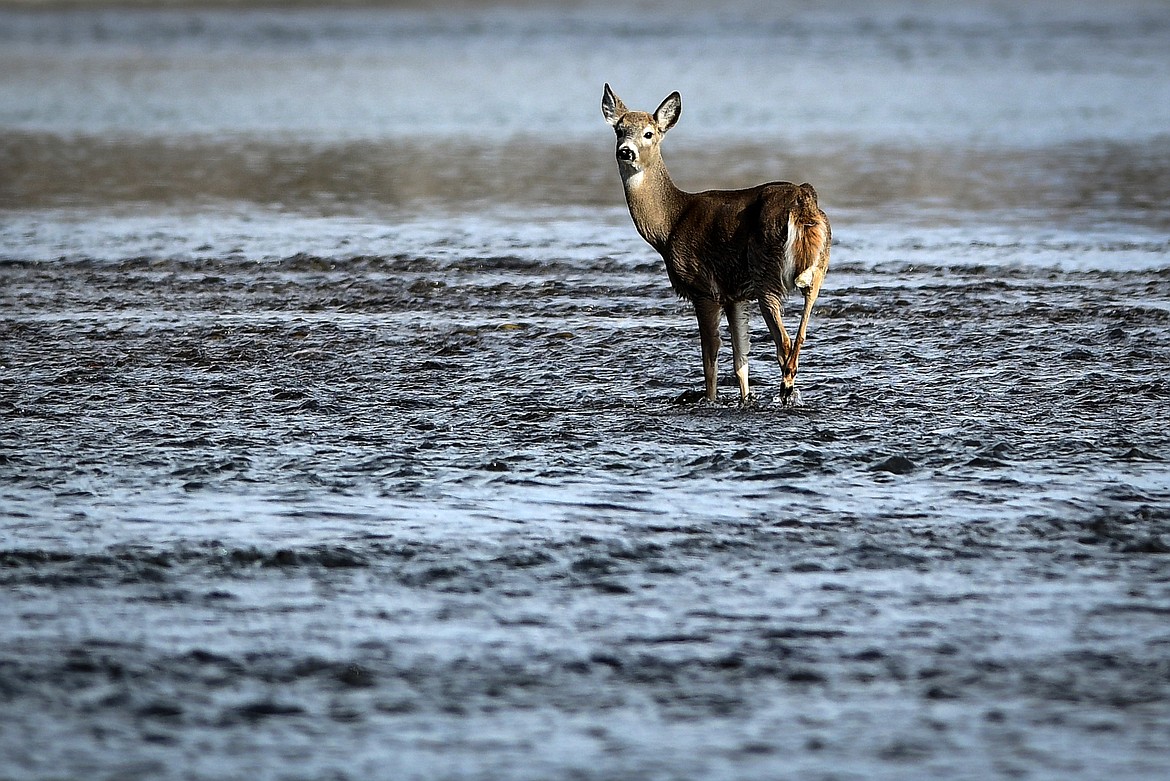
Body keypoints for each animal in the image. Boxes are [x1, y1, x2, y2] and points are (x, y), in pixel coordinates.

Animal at [603, 82, 833, 406]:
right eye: (619, 130)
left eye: (649, 133)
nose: (625, 151)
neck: (669, 224)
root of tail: (803, 200)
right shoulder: (734, 295)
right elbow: (741, 361)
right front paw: (745, 399)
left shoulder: (704, 287)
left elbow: (709, 359)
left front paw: (710, 400)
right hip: (817, 270)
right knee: (800, 334)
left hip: (766, 274)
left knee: (785, 343)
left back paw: (786, 390)